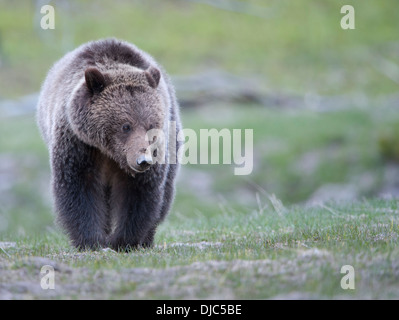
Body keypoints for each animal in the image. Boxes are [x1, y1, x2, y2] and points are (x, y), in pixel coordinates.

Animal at [37, 38, 181, 251]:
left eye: (151, 126)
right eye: (125, 126)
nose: (143, 160)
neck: (109, 152)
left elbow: (138, 192)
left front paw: (124, 241)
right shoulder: (79, 144)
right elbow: (79, 187)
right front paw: (91, 240)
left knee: (165, 193)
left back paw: (147, 238)